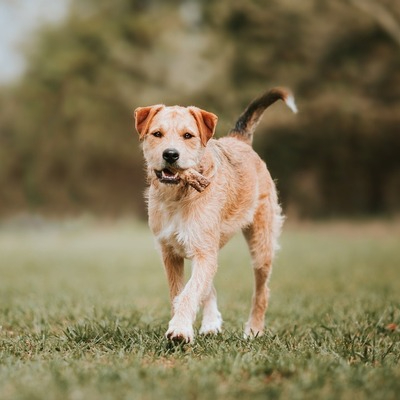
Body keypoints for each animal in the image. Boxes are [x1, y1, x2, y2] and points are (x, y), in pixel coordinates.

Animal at [134, 88, 296, 344]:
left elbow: (189, 292)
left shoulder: (203, 251)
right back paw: (211, 324)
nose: (170, 155)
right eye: (157, 134)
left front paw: (180, 329)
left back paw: (254, 330)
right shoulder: (170, 252)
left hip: (261, 246)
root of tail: (238, 139)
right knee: (209, 286)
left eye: (188, 135)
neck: (179, 196)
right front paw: (184, 323)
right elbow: (180, 291)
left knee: (261, 291)